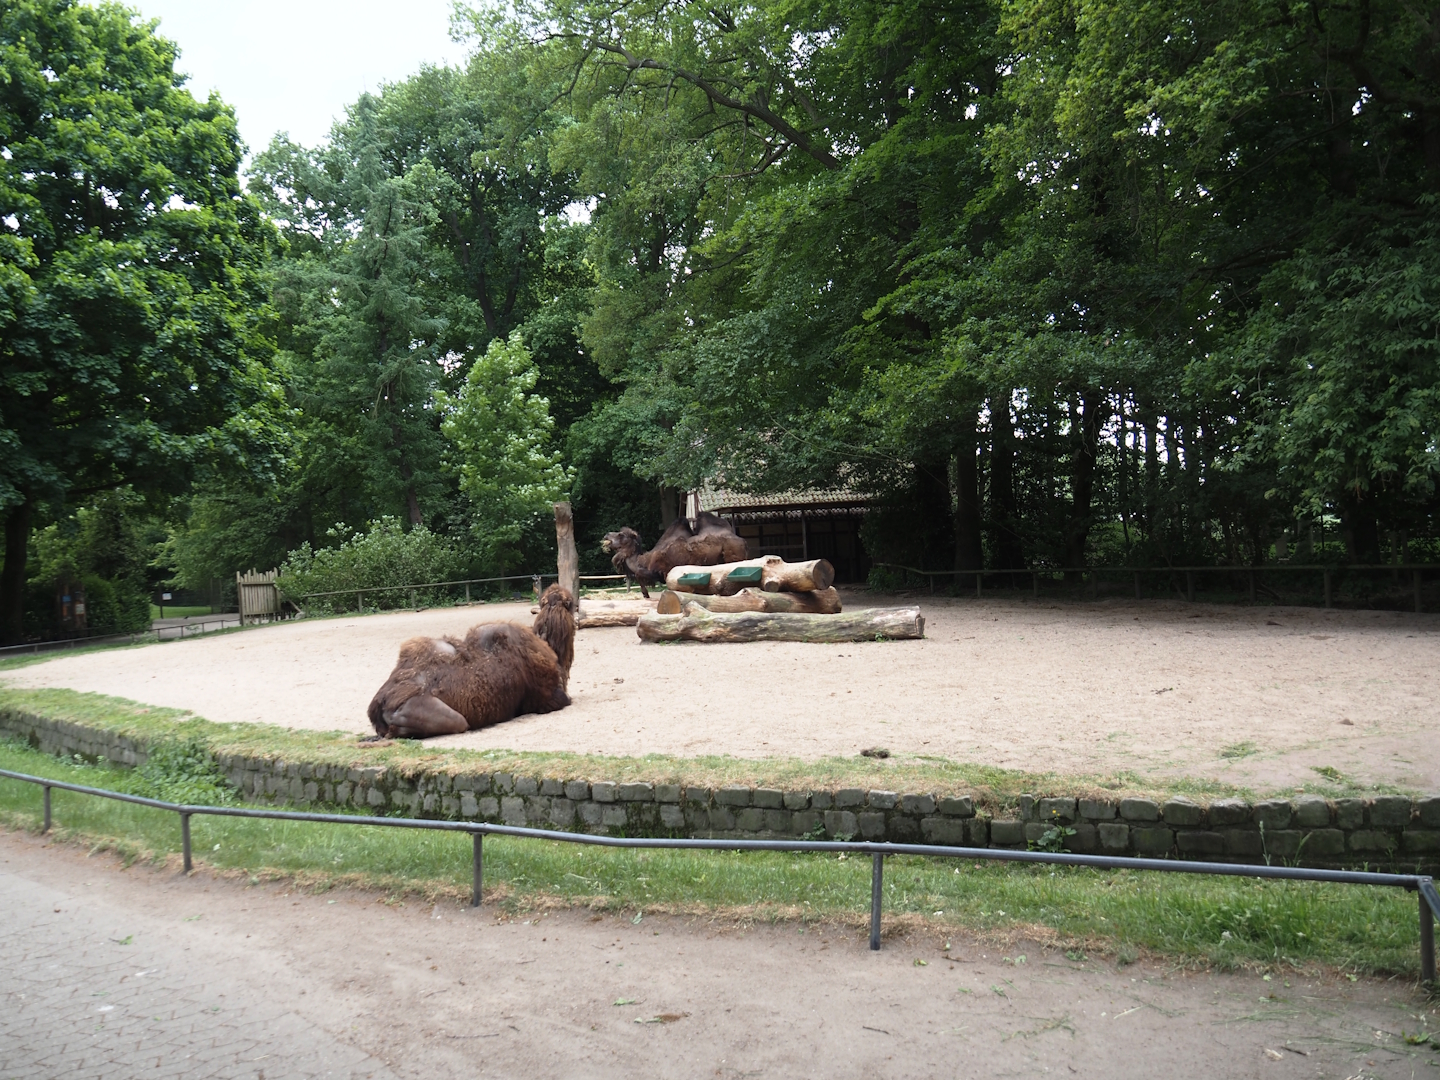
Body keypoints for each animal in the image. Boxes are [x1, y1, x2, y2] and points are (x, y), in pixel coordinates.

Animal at [601, 512, 749, 598]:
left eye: (621, 535)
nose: (606, 534)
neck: (645, 561)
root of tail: (742, 540)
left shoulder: (667, 570)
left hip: (734, 557)